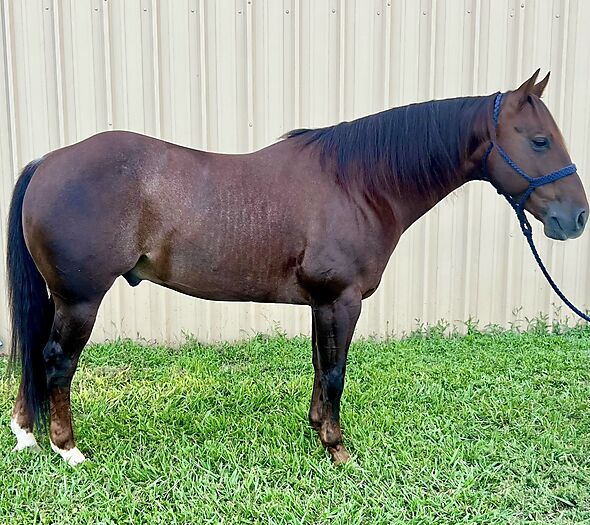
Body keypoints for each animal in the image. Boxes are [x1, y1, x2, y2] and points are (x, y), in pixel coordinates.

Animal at [7, 70, 588, 466]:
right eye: (540, 140)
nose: (577, 218)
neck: (358, 183)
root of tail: (47, 162)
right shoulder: (341, 301)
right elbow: (335, 372)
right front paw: (337, 449)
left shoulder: (321, 304)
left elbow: (318, 366)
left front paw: (316, 431)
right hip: (81, 299)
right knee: (56, 361)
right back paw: (67, 449)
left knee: (35, 355)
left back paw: (27, 434)